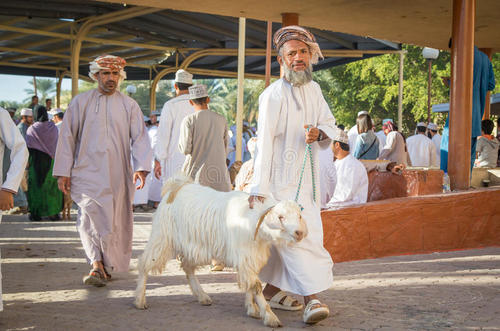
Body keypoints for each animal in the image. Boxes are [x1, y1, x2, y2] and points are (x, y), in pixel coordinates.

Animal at [135, 175, 306, 328]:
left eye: (299, 215)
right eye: (280, 217)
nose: (299, 233)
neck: (252, 220)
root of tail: (176, 187)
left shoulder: (249, 258)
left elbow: (250, 284)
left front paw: (252, 309)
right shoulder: (244, 256)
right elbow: (256, 286)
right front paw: (270, 317)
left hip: (194, 247)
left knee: (187, 267)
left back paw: (202, 296)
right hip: (161, 238)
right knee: (144, 264)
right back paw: (139, 300)